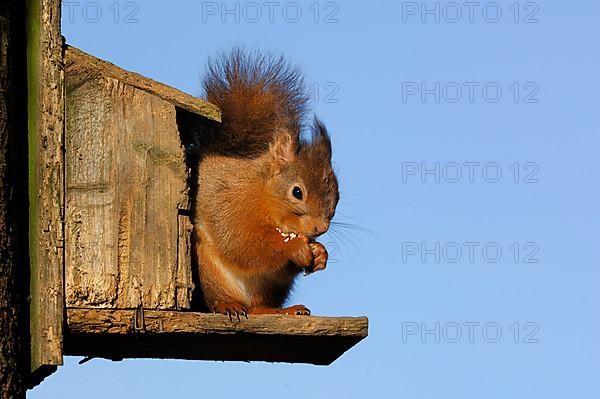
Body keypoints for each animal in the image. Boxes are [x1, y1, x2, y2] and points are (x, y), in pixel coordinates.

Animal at [195, 50, 340, 318]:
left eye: (337, 195)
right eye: (297, 192)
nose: (320, 229)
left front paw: (320, 253)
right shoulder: (230, 204)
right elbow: (243, 244)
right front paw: (294, 248)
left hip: (270, 287)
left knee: (258, 307)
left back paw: (283, 310)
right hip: (208, 269)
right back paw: (228, 305)